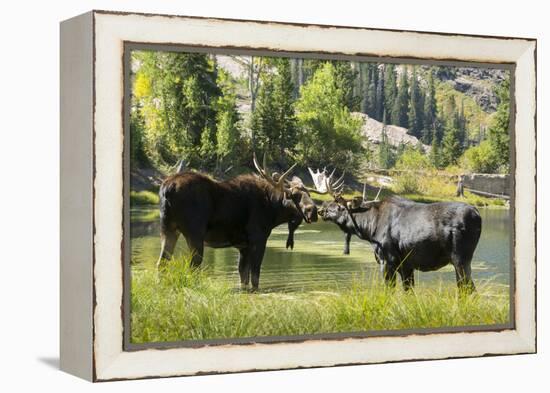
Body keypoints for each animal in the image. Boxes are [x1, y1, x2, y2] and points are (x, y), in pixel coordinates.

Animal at [155, 153, 326, 288]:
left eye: (309, 194)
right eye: (294, 195)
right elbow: (255, 276)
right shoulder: (258, 238)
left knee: (162, 263)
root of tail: (167, 189)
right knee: (193, 265)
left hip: (168, 229)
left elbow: (243, 277)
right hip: (194, 233)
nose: (313, 211)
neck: (273, 211)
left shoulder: (243, 246)